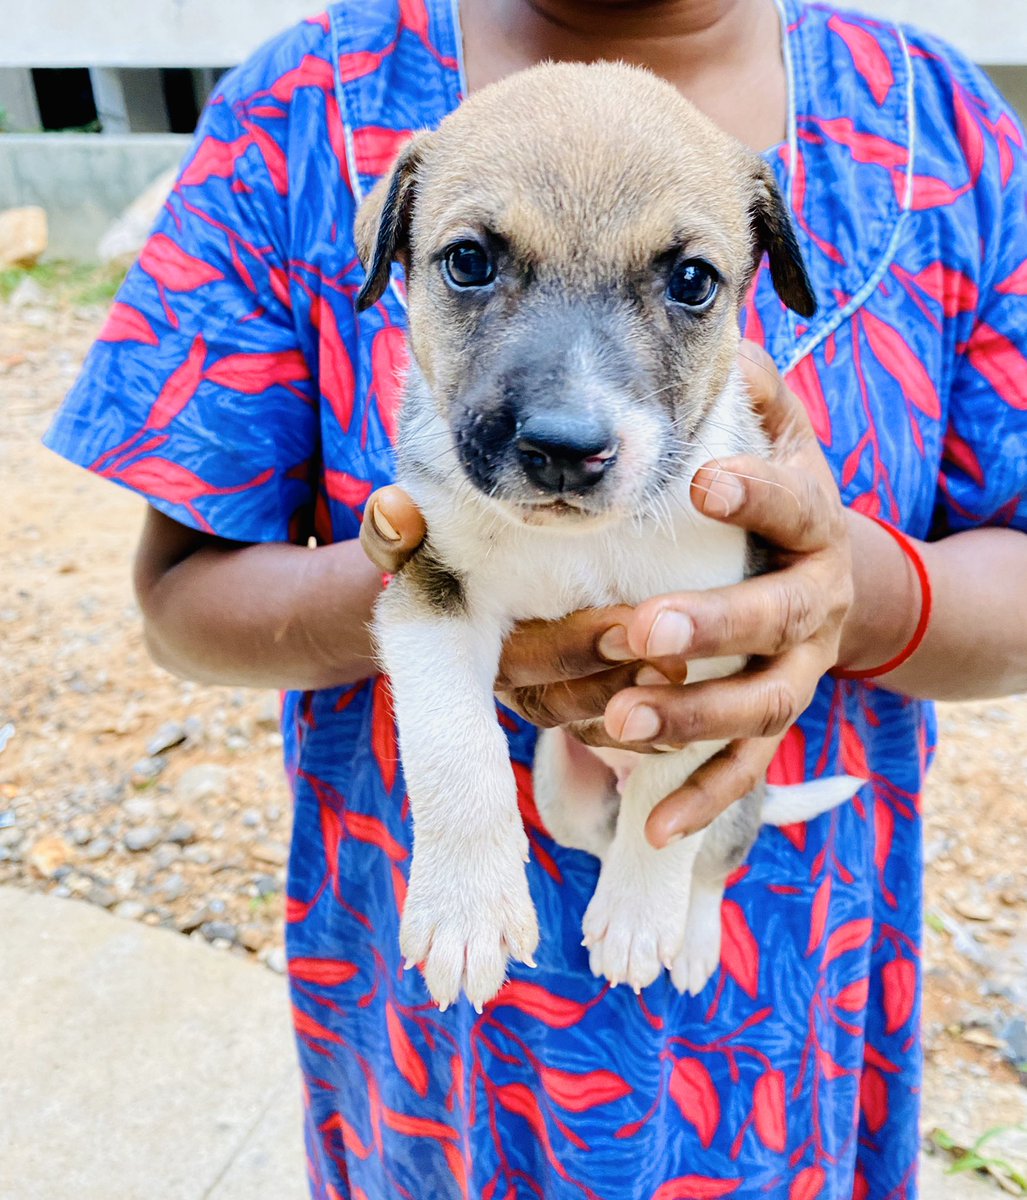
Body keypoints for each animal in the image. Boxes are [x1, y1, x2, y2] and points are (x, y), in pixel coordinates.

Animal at [352, 60, 859, 1008]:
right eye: (468, 262)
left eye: (692, 280)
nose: (562, 449)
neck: (578, 541)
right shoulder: (432, 588)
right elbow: (453, 746)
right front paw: (467, 911)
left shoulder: (706, 649)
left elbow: (669, 803)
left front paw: (637, 918)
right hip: (562, 789)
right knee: (598, 828)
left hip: (735, 797)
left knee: (710, 855)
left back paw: (684, 934)